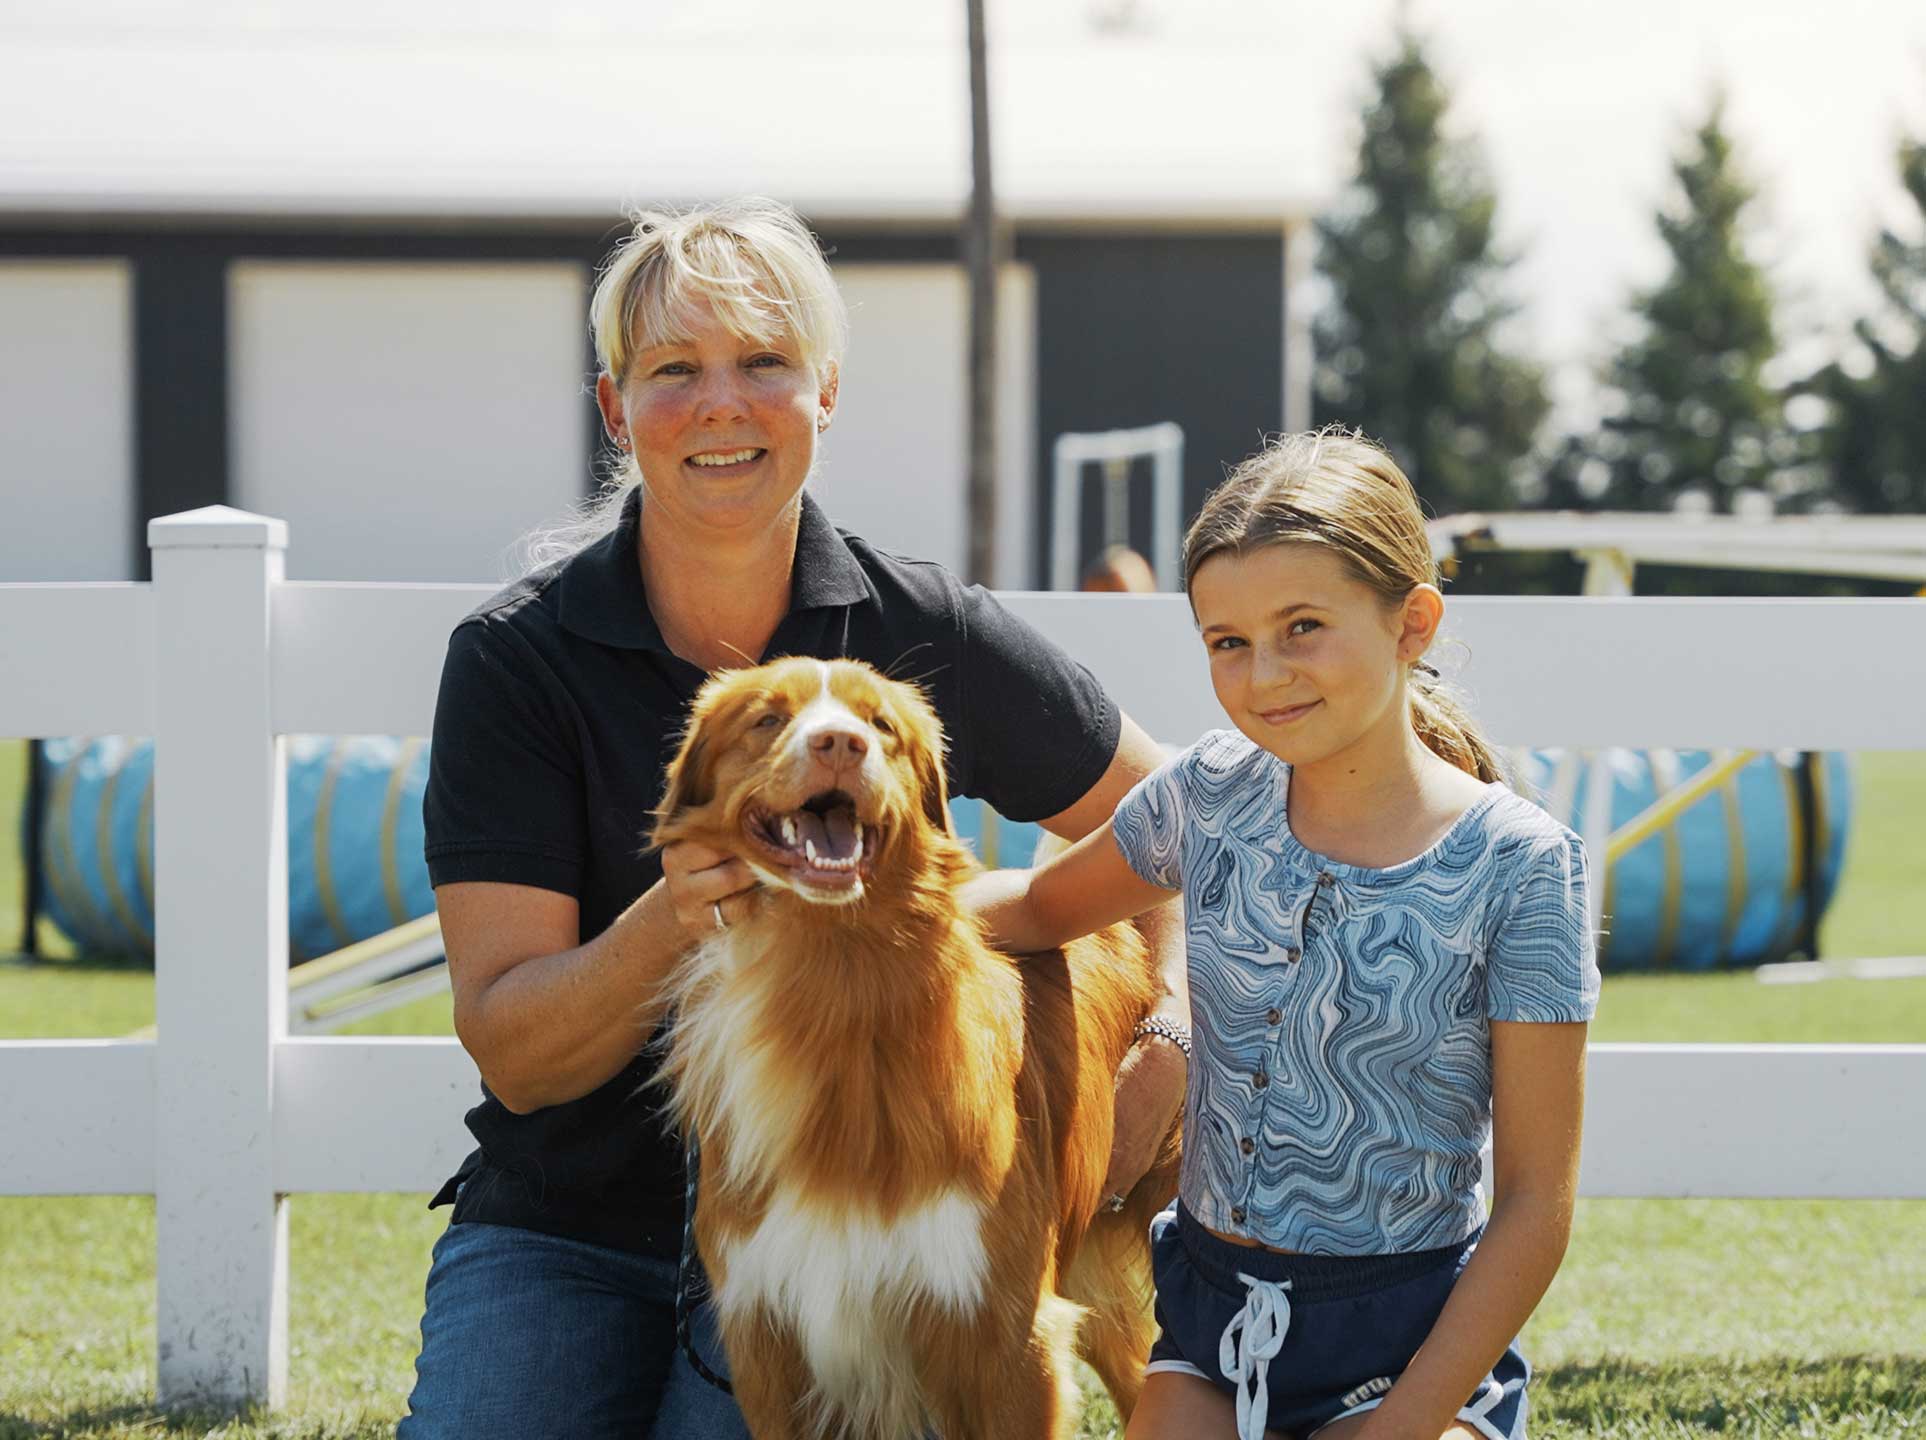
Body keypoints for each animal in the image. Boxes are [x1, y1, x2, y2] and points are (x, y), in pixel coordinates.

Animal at [654, 658, 1178, 1432]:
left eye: (881, 726)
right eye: (768, 719)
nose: (841, 744)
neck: (831, 981)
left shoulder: (1004, 1334)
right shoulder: (767, 1346)